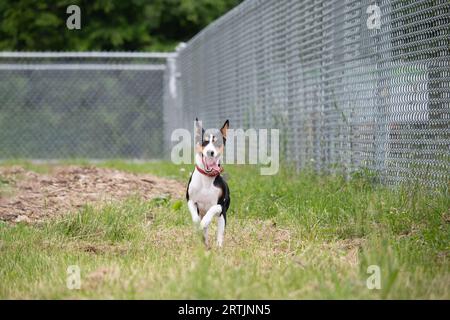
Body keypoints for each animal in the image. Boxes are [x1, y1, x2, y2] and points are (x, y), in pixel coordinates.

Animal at [185, 120, 230, 248]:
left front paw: (204, 221)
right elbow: (196, 219)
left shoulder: (221, 206)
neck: (206, 178)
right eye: (204, 142)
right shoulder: (190, 200)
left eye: (218, 142)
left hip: (222, 217)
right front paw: (198, 225)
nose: (210, 152)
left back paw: (218, 246)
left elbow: (212, 210)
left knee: (220, 231)